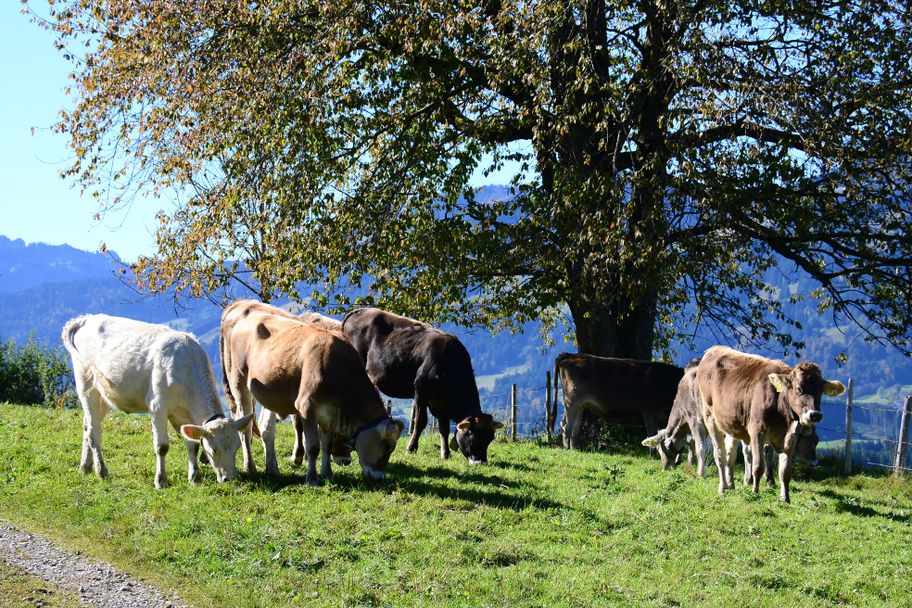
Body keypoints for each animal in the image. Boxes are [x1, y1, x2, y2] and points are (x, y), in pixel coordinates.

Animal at [61, 314, 253, 488]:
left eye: (237, 447)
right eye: (214, 450)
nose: (230, 478)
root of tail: (86, 318)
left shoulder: (183, 414)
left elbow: (192, 445)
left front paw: (195, 478)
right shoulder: (158, 407)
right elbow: (162, 446)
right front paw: (161, 481)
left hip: (104, 396)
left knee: (88, 426)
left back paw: (85, 467)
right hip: (87, 386)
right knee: (94, 432)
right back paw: (101, 471)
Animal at [220, 301, 404, 484]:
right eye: (387, 446)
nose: (379, 477)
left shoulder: (331, 413)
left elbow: (326, 446)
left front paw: (327, 474)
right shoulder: (306, 407)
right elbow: (314, 446)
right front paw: (312, 479)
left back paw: (272, 469)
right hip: (239, 385)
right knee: (245, 428)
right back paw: (249, 466)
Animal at [341, 308, 502, 464]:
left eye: (490, 438)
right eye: (472, 435)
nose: (480, 461)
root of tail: (360, 310)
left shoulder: (439, 403)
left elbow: (443, 428)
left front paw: (445, 454)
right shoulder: (420, 390)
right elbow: (420, 421)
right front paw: (411, 448)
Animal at [556, 353, 684, 451]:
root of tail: (573, 355)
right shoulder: (650, 411)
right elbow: (652, 434)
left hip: (580, 405)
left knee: (573, 427)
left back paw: (574, 449)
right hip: (572, 401)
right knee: (566, 426)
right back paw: (566, 449)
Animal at [696, 345, 845, 502]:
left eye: (820, 391)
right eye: (799, 388)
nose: (815, 414)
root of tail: (714, 349)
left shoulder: (792, 437)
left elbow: (785, 472)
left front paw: (785, 499)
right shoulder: (757, 431)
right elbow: (758, 466)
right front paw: (755, 492)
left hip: (732, 424)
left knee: (731, 453)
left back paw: (731, 485)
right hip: (710, 416)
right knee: (720, 454)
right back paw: (723, 487)